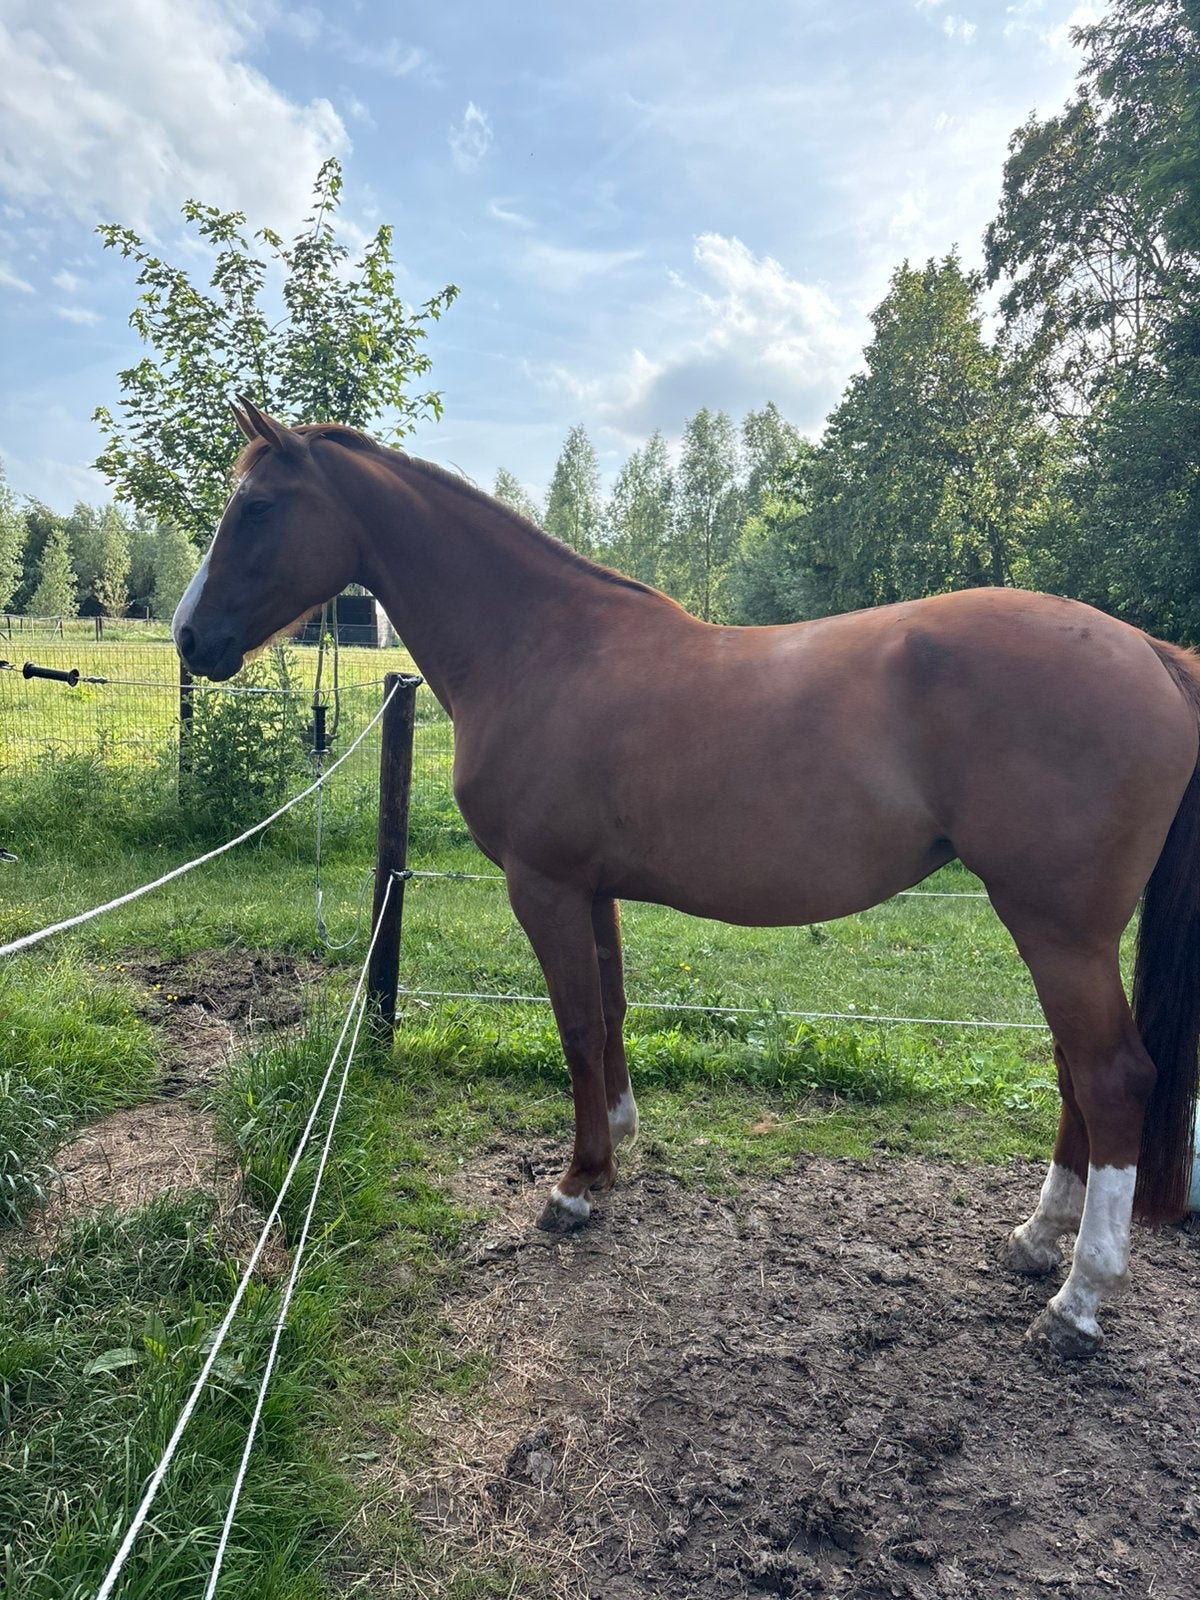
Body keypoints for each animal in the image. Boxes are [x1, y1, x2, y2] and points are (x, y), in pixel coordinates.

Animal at [175, 397, 1200, 1358]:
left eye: (257, 507)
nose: (190, 639)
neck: (539, 646)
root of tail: (1152, 653)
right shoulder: (591, 890)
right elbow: (612, 1011)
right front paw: (618, 1140)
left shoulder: (543, 887)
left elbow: (576, 1025)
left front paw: (576, 1186)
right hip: (1058, 929)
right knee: (1073, 1071)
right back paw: (1036, 1239)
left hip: (1057, 927)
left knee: (1111, 1076)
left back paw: (1077, 1300)